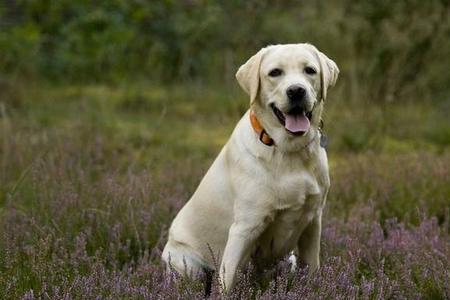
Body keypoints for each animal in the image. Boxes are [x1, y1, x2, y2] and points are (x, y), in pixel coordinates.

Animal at [162, 43, 338, 292]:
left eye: (310, 70)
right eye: (275, 72)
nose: (296, 91)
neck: (288, 150)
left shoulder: (313, 222)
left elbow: (313, 270)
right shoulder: (245, 227)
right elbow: (227, 282)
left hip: (289, 260)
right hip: (187, 264)